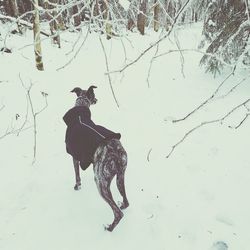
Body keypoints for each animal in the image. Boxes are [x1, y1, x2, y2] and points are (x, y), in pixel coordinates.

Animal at [64, 86, 129, 232]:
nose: (97, 100)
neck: (80, 114)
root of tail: (114, 152)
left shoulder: (75, 157)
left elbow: (77, 175)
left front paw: (77, 186)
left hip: (101, 182)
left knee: (118, 213)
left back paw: (109, 228)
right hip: (120, 176)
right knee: (126, 201)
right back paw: (122, 205)